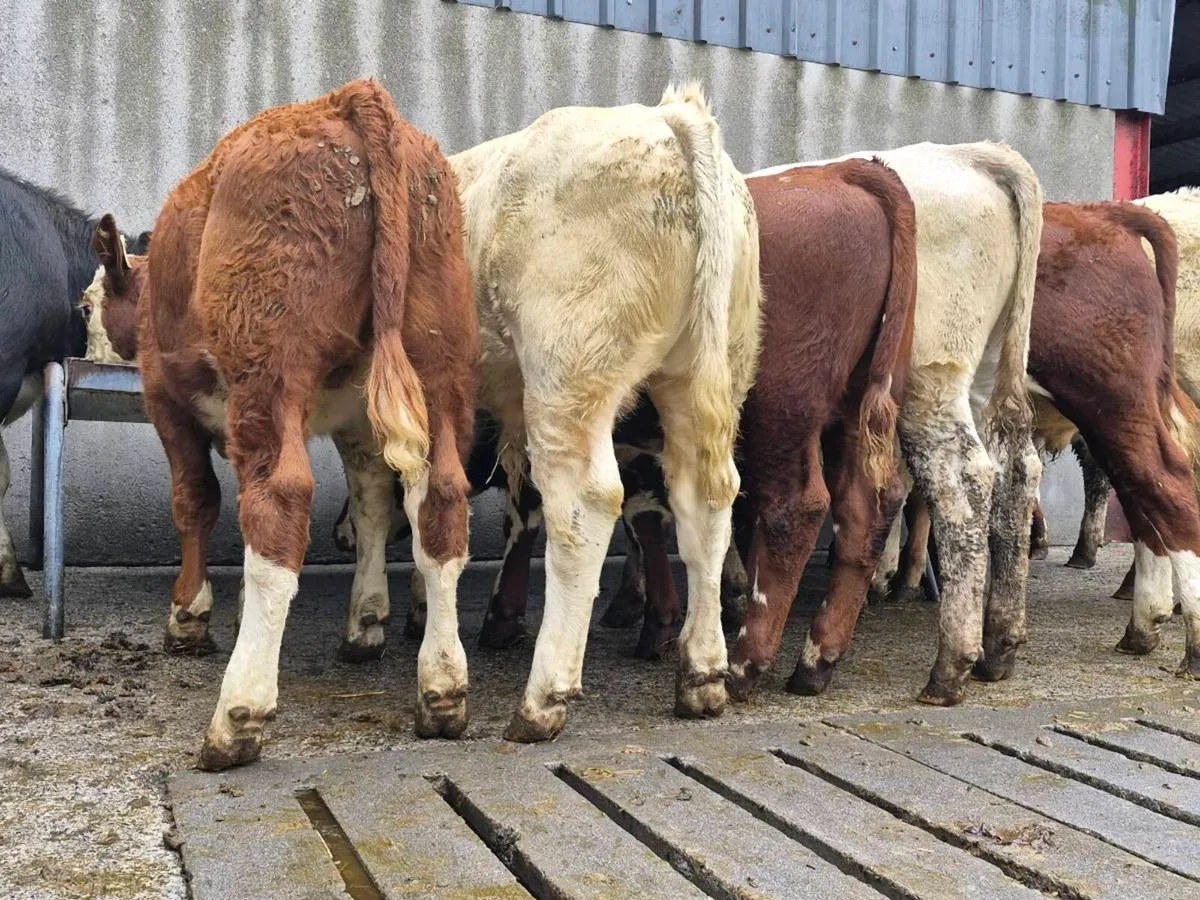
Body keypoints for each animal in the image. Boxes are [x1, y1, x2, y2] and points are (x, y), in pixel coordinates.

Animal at [81, 78, 479, 770]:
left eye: (87, 304)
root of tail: (349, 99)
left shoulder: (165, 401)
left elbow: (196, 501)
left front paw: (190, 614)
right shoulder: (357, 424)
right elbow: (372, 510)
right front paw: (365, 620)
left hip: (268, 371)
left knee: (280, 500)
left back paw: (239, 713)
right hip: (438, 368)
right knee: (441, 502)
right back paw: (442, 689)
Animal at [447, 83, 763, 741]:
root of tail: (667, 118)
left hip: (568, 371)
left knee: (585, 505)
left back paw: (542, 700)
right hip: (706, 370)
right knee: (704, 500)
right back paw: (701, 677)